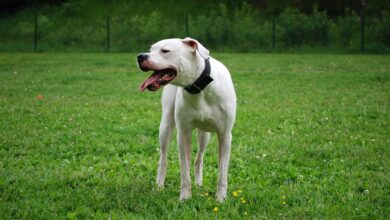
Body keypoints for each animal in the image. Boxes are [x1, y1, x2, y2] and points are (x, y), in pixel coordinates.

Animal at [136, 37, 236, 201]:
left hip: (205, 135)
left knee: (199, 158)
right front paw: (184, 198)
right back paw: (159, 185)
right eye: (150, 50)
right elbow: (184, 172)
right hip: (165, 126)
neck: (200, 88)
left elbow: (222, 172)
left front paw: (221, 199)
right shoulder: (183, 134)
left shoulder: (225, 136)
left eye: (165, 51)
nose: (140, 56)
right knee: (163, 158)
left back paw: (199, 183)